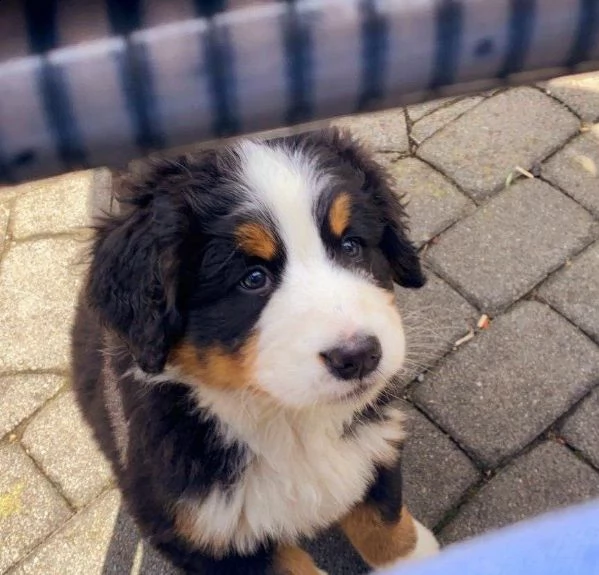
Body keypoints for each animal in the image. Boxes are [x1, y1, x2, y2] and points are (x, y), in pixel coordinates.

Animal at [72, 128, 440, 572]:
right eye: (252, 278)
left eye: (352, 246)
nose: (359, 356)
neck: (286, 421)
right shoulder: (201, 534)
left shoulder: (373, 443)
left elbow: (383, 524)